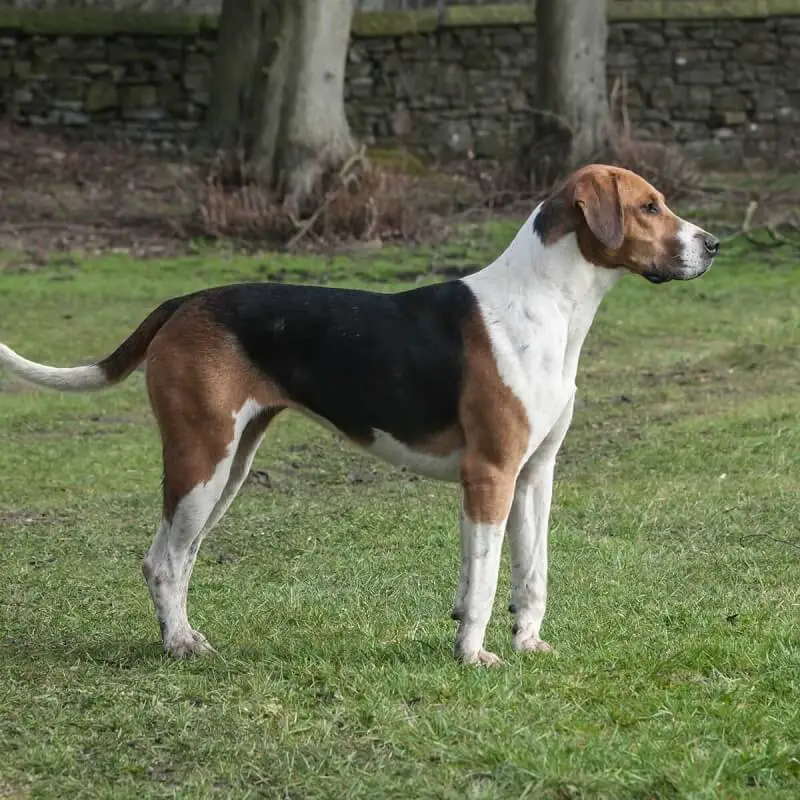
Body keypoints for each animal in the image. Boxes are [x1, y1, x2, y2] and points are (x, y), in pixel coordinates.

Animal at [0, 162, 720, 664]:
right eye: (649, 206)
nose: (713, 244)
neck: (547, 303)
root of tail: (185, 301)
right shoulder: (489, 475)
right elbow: (485, 580)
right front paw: (473, 654)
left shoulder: (534, 476)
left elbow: (529, 572)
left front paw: (526, 644)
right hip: (201, 459)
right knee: (164, 561)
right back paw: (179, 645)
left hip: (229, 467)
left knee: (180, 555)